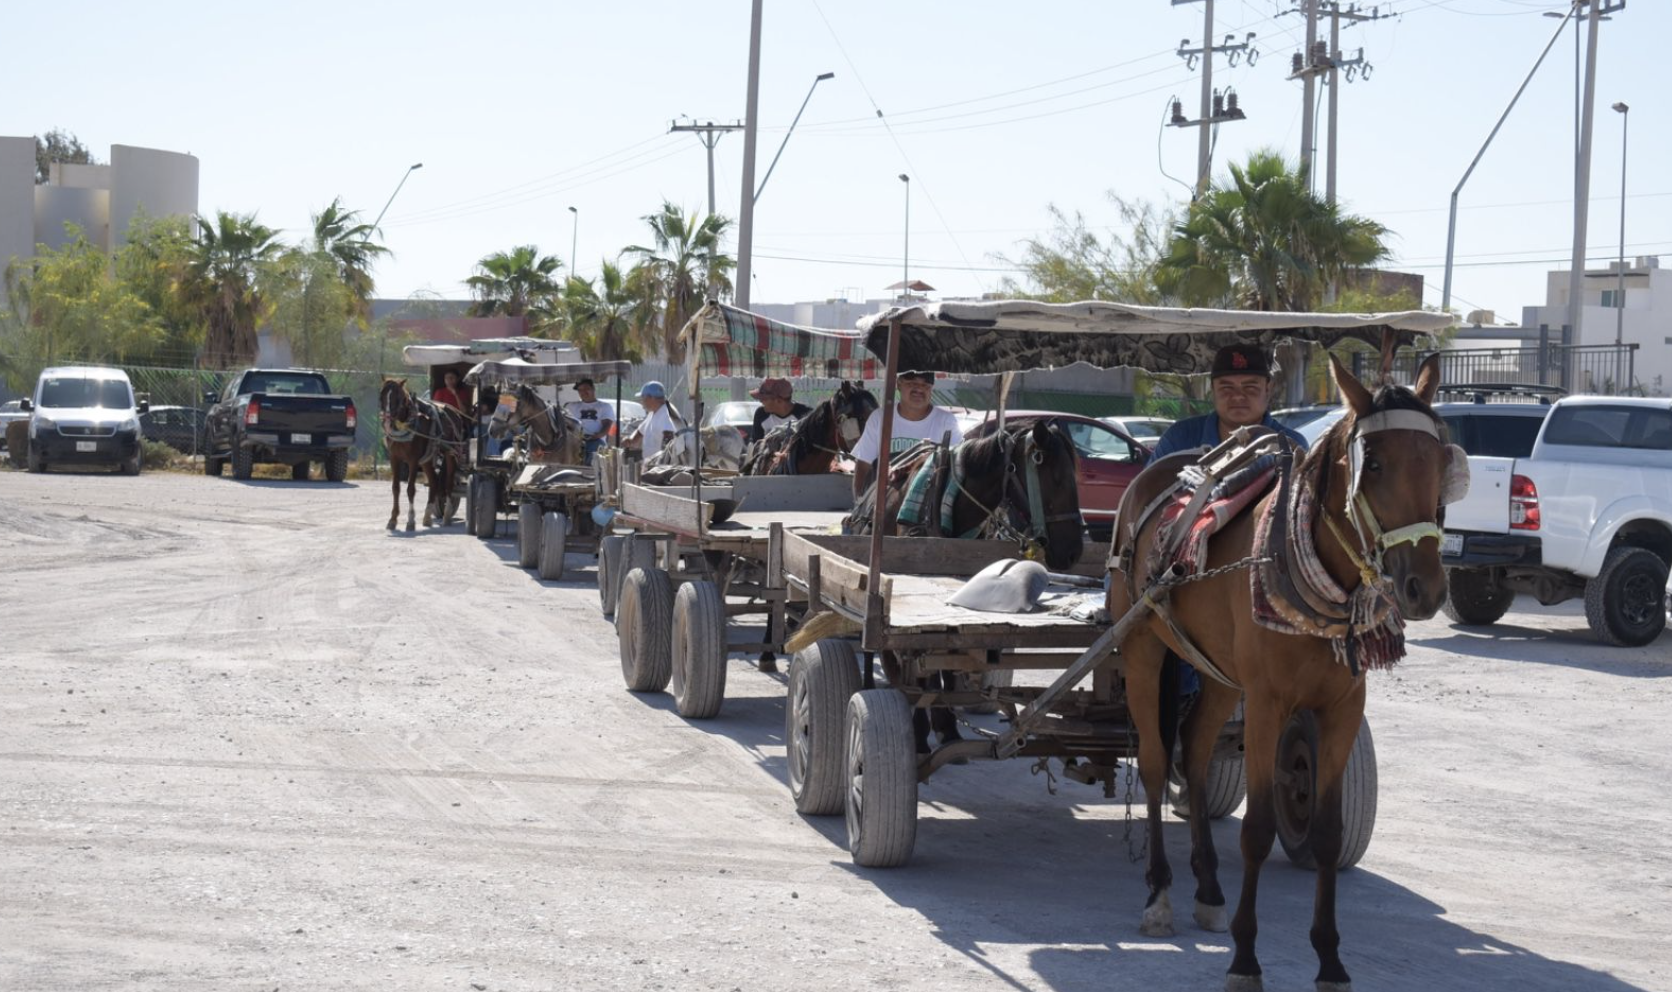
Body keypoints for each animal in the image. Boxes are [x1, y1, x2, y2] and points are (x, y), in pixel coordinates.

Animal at [1110, 351, 1451, 983]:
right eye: (1375, 464)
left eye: (1442, 461)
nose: (1425, 588)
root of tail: (1156, 469)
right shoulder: (1268, 703)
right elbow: (1258, 830)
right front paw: (1246, 958)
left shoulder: (1342, 708)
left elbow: (1327, 833)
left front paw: (1330, 959)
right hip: (1144, 647)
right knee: (1154, 763)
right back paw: (1160, 893)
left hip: (1218, 673)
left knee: (1195, 753)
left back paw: (1209, 890)